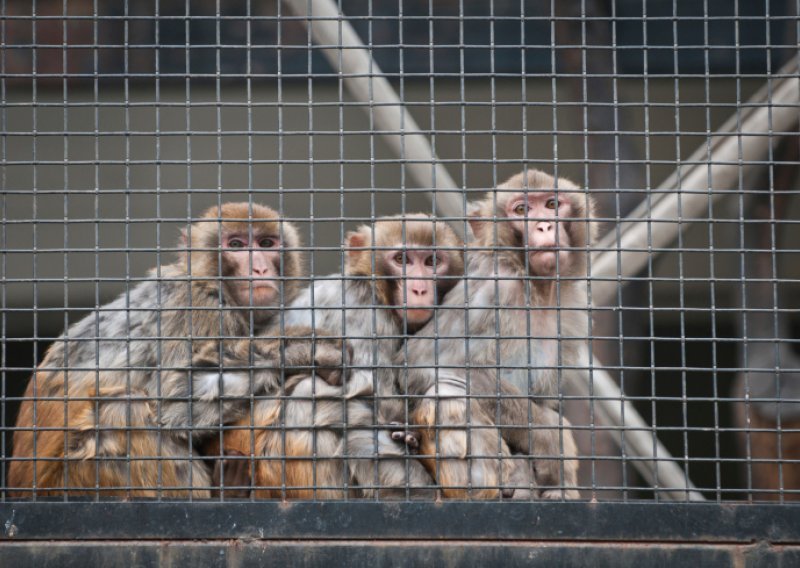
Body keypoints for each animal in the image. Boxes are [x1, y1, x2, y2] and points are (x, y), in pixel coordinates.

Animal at [8, 201, 346, 496]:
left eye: (265, 243)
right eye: (236, 245)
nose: (260, 269)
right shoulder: (199, 309)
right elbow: (175, 402)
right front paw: (303, 348)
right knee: (125, 407)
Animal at [400, 170, 592, 502]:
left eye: (552, 205)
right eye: (521, 210)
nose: (544, 225)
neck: (535, 289)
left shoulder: (571, 309)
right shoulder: (495, 291)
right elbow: (424, 365)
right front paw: (553, 440)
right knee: (447, 390)